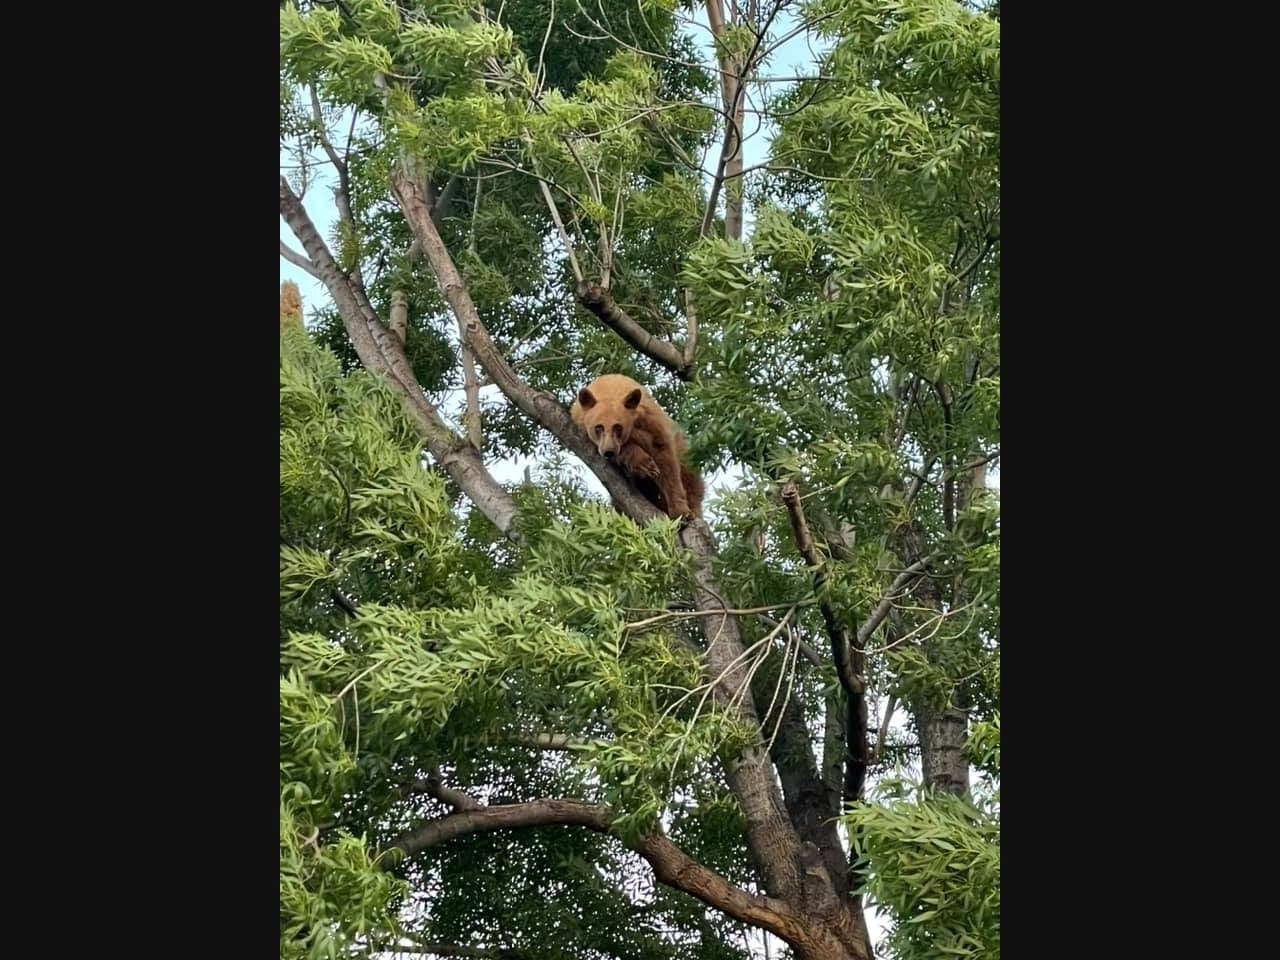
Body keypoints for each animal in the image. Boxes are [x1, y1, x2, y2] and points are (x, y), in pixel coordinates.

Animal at [570, 373, 704, 521]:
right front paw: (643, 463)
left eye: (618, 427)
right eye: (598, 427)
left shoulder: (650, 421)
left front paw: (682, 511)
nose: (608, 451)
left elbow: (666, 461)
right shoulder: (581, 426)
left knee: (690, 480)